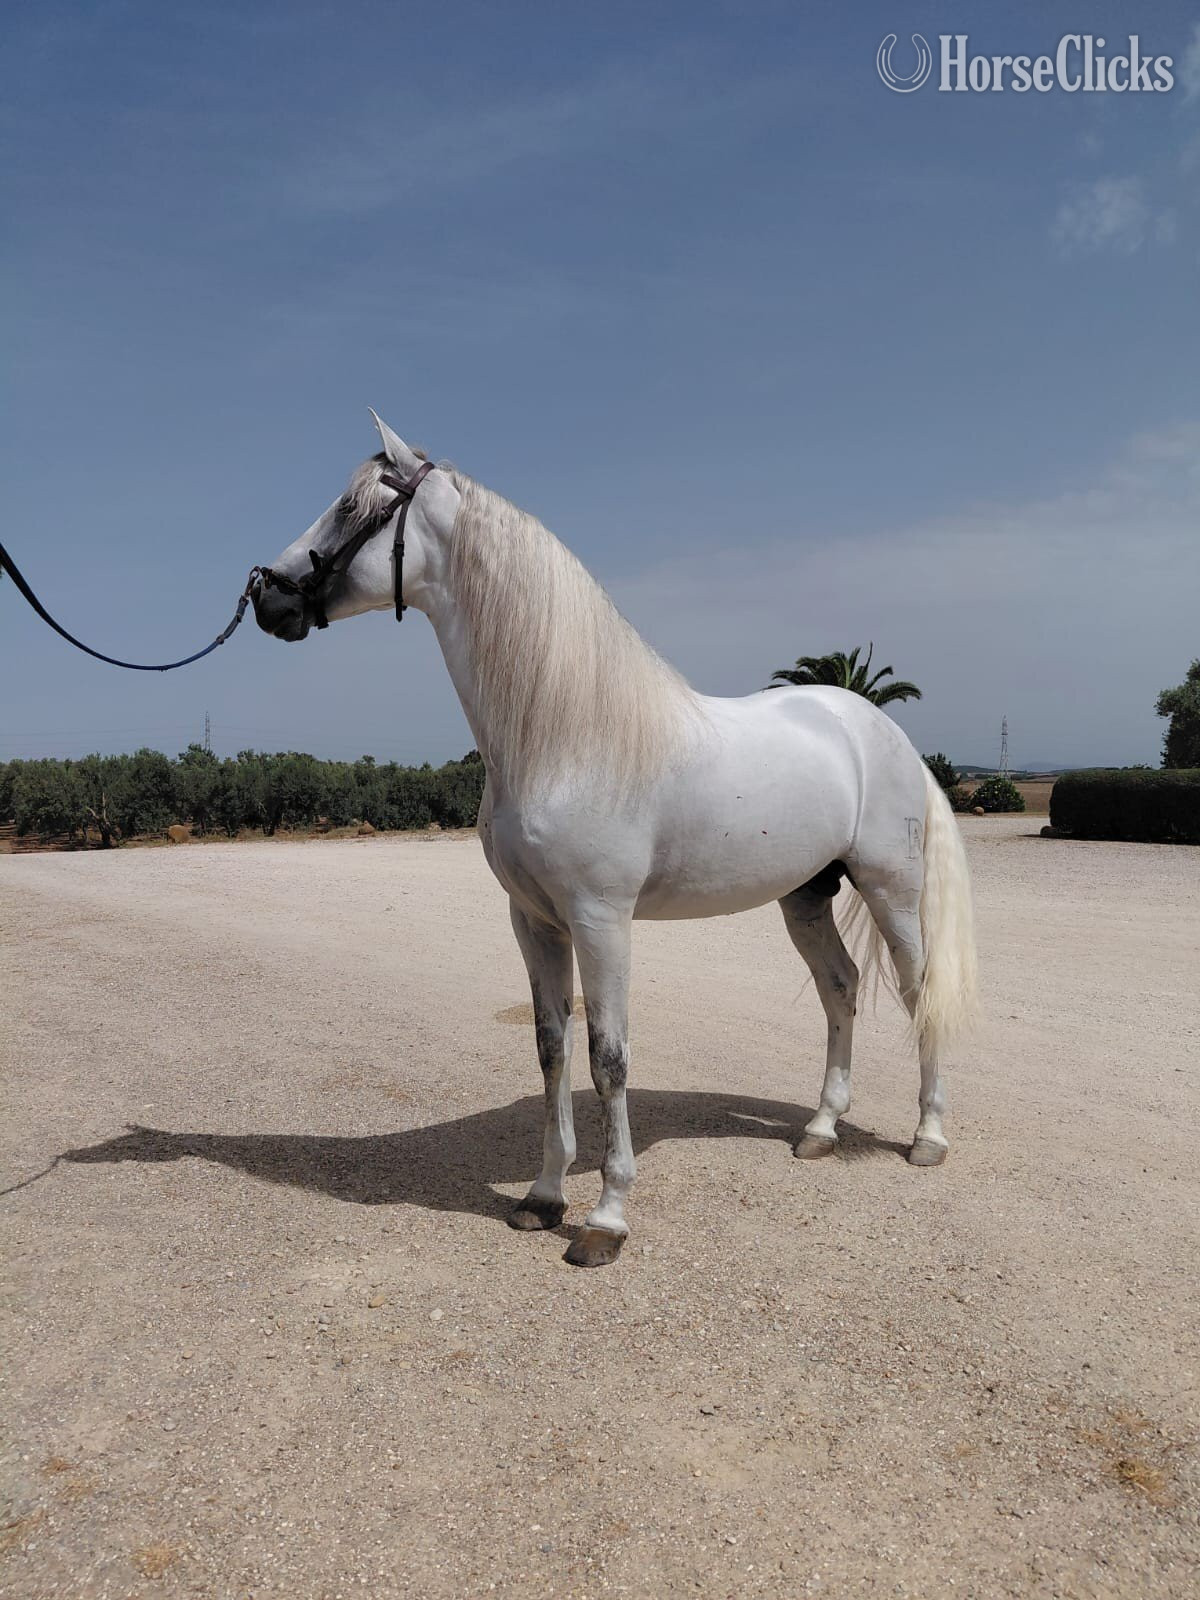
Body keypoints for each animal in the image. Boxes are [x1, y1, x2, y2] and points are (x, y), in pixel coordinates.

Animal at [250, 413, 977, 1267]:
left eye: (350, 506)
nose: (265, 593)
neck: (564, 735)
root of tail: (882, 731)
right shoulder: (533, 919)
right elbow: (552, 1048)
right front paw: (542, 1196)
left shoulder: (601, 919)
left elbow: (608, 1057)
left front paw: (606, 1218)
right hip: (805, 895)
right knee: (840, 988)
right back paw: (822, 1129)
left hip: (891, 887)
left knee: (917, 992)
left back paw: (928, 1136)